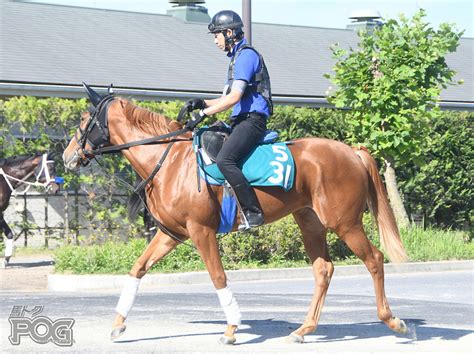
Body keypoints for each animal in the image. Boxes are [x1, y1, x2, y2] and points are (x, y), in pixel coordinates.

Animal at [63, 86, 410, 346]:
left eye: (83, 120)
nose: (67, 156)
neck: (170, 160)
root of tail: (352, 151)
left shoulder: (200, 230)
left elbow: (218, 277)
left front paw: (231, 328)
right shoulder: (172, 233)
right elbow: (138, 268)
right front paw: (118, 323)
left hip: (344, 223)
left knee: (374, 259)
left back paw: (392, 320)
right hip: (310, 222)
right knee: (323, 269)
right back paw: (304, 329)